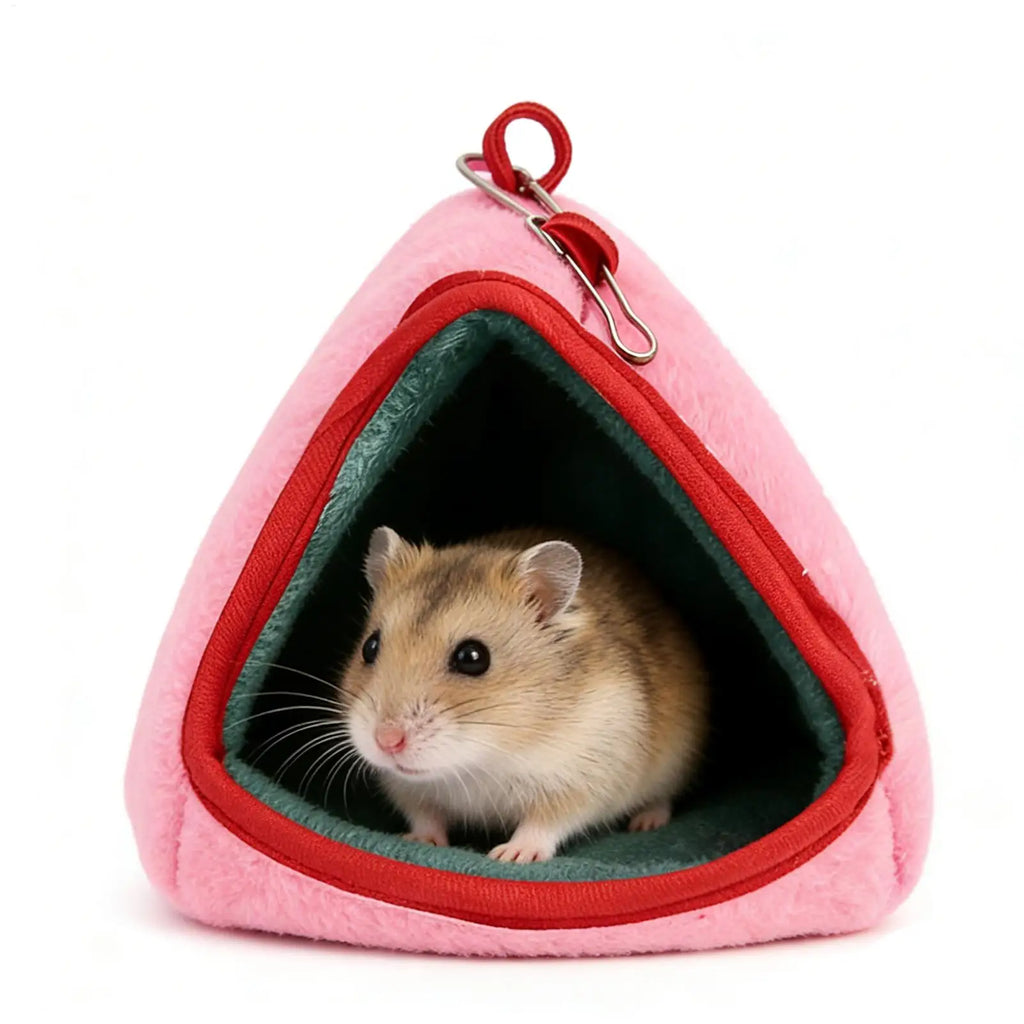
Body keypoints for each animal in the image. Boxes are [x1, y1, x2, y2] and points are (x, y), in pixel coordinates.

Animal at [337, 526, 709, 863]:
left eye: (473, 657)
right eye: (370, 647)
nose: (386, 741)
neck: (482, 758)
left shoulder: (583, 779)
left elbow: (544, 823)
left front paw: (511, 856)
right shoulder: (407, 788)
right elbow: (426, 816)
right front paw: (418, 840)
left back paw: (646, 823)